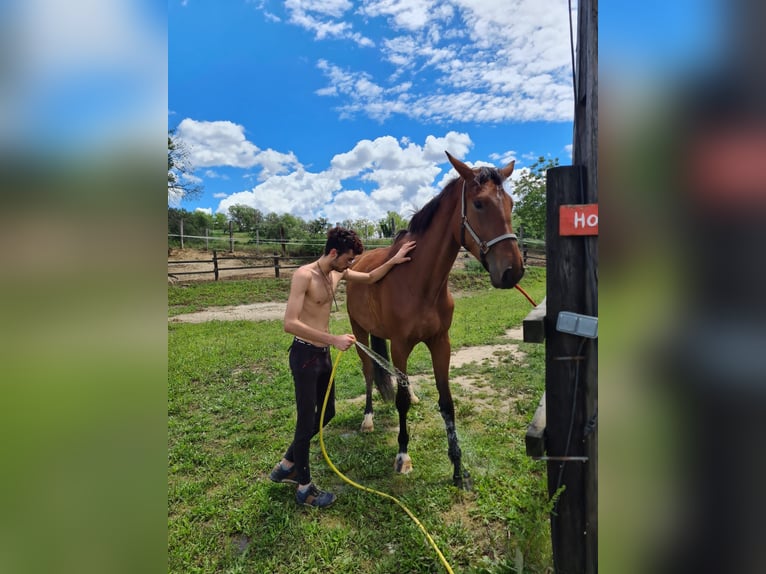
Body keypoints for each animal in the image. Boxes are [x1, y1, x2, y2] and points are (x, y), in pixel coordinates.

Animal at [348, 151, 528, 488]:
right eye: (479, 204)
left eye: (511, 203)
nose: (513, 271)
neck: (419, 282)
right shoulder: (401, 346)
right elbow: (400, 402)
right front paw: (403, 456)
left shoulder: (441, 343)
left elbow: (447, 403)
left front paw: (458, 468)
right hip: (359, 332)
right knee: (368, 372)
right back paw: (368, 419)